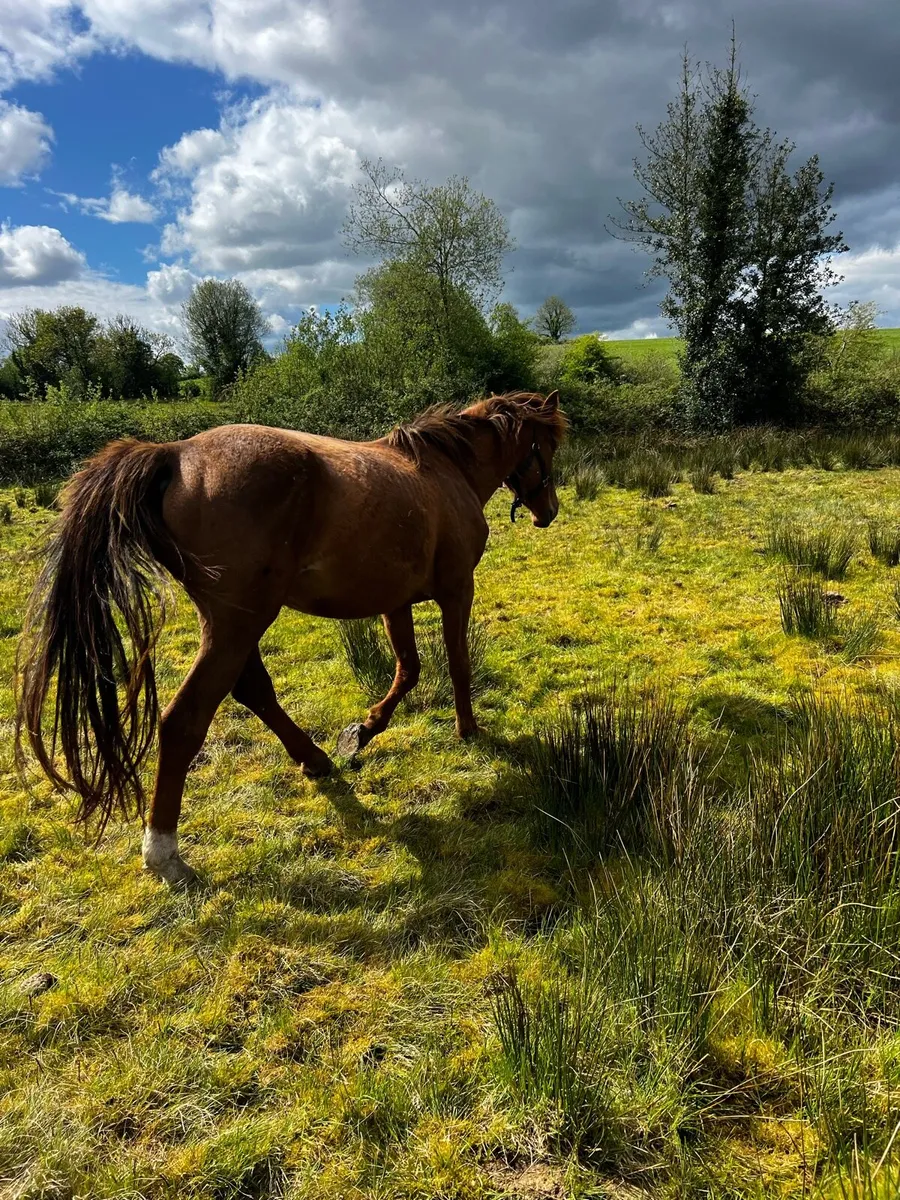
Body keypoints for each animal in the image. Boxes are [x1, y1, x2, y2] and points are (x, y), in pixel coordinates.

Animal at [16, 390, 565, 887]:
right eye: (549, 446)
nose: (550, 511)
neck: (445, 471)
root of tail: (174, 454)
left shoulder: (395, 602)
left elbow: (408, 669)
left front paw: (364, 730)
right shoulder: (456, 590)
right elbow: (457, 662)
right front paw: (468, 729)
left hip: (234, 623)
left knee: (253, 691)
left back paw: (316, 759)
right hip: (240, 623)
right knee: (185, 721)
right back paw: (165, 854)